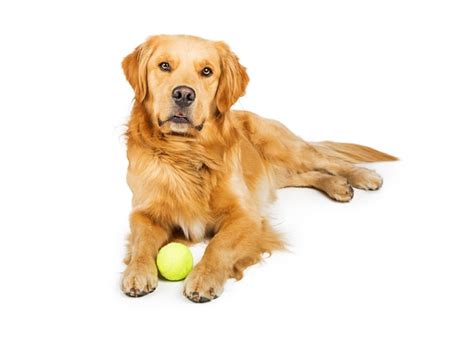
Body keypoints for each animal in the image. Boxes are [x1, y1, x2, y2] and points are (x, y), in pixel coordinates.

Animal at [119, 35, 396, 304]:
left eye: (207, 71)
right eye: (164, 66)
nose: (184, 94)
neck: (186, 153)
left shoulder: (246, 215)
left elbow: (218, 244)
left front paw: (204, 278)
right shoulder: (143, 213)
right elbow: (142, 242)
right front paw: (137, 271)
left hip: (286, 148)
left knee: (327, 161)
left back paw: (364, 176)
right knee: (306, 175)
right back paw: (338, 185)